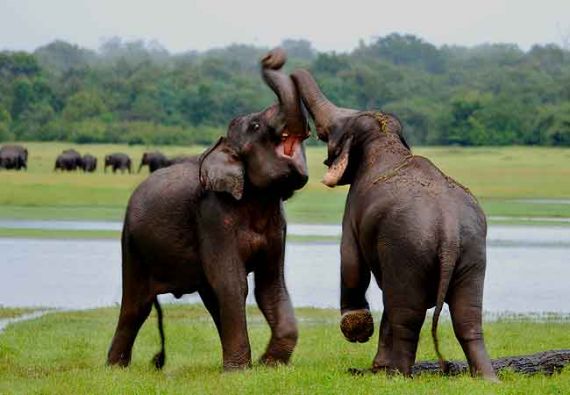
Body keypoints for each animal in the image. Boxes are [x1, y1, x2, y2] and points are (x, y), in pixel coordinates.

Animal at [106, 48, 310, 372]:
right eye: (255, 126)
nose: (272, 55)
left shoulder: (279, 224)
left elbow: (270, 285)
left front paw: (268, 364)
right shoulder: (213, 217)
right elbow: (232, 283)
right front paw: (240, 372)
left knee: (210, 298)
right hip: (132, 244)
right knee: (136, 305)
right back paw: (115, 369)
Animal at [290, 69, 494, 382]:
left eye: (327, 132)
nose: (271, 60)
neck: (385, 137)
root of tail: (448, 228)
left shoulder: (353, 208)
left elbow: (351, 262)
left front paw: (358, 331)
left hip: (407, 249)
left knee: (406, 313)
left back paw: (398, 374)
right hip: (472, 252)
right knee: (467, 316)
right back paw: (486, 378)